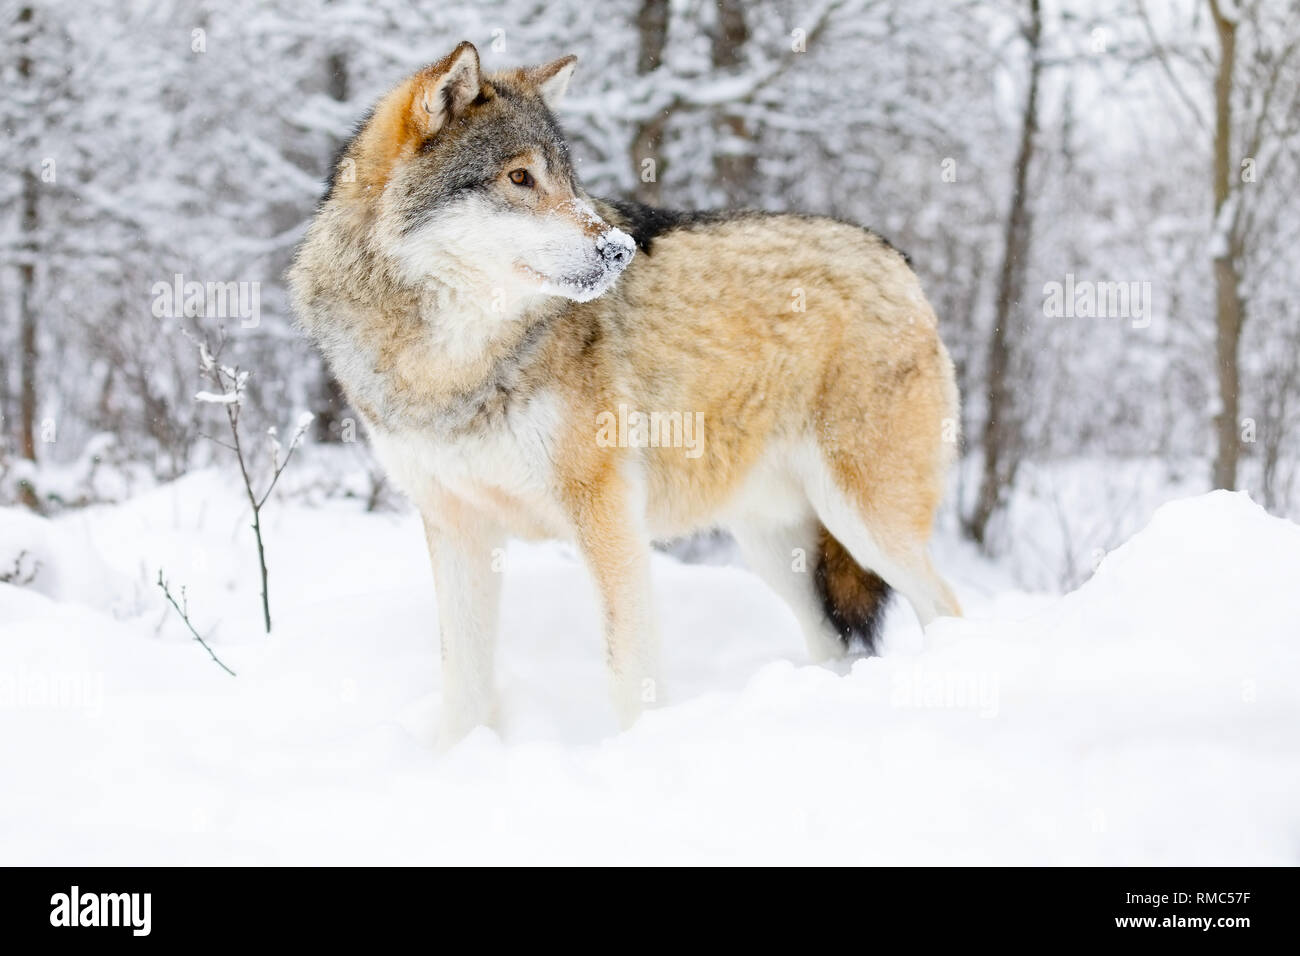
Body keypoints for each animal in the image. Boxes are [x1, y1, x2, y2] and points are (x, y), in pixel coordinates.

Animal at [295, 42, 967, 749]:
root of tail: (898, 259)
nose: (619, 250)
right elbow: (465, 681)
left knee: (947, 606)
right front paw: (456, 756)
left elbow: (628, 668)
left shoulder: (608, 515)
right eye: (519, 178)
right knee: (839, 645)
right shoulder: (455, 524)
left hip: (865, 522)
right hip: (776, 550)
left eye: (569, 180)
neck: (451, 365)